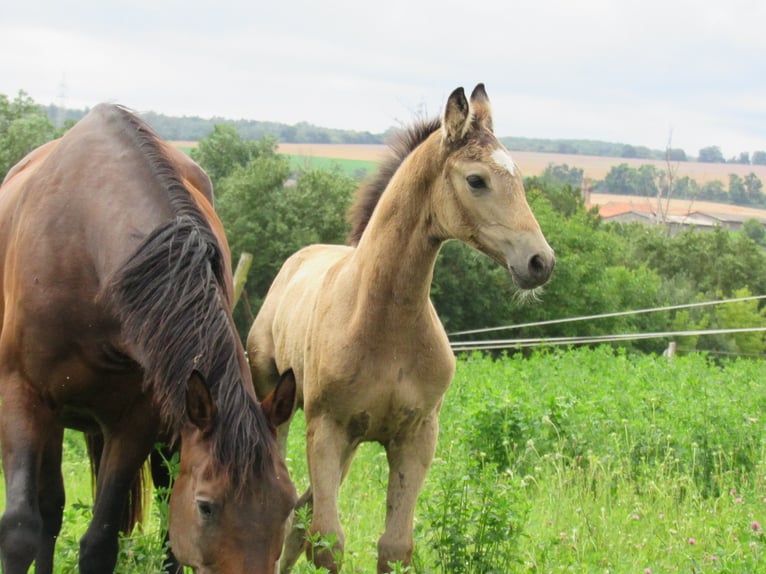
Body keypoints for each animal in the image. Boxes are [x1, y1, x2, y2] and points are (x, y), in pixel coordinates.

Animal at [0, 104, 296, 574]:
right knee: (49, 509)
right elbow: (20, 529)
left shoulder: (138, 419)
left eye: (287, 505)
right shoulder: (20, 396)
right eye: (206, 506)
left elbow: (101, 541)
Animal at [249, 83, 556, 572]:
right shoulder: (327, 428)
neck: (383, 322)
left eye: (520, 178)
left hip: (352, 442)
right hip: (280, 405)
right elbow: (329, 542)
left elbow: (394, 545)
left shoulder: (416, 436)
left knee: (299, 512)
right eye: (476, 180)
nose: (540, 262)